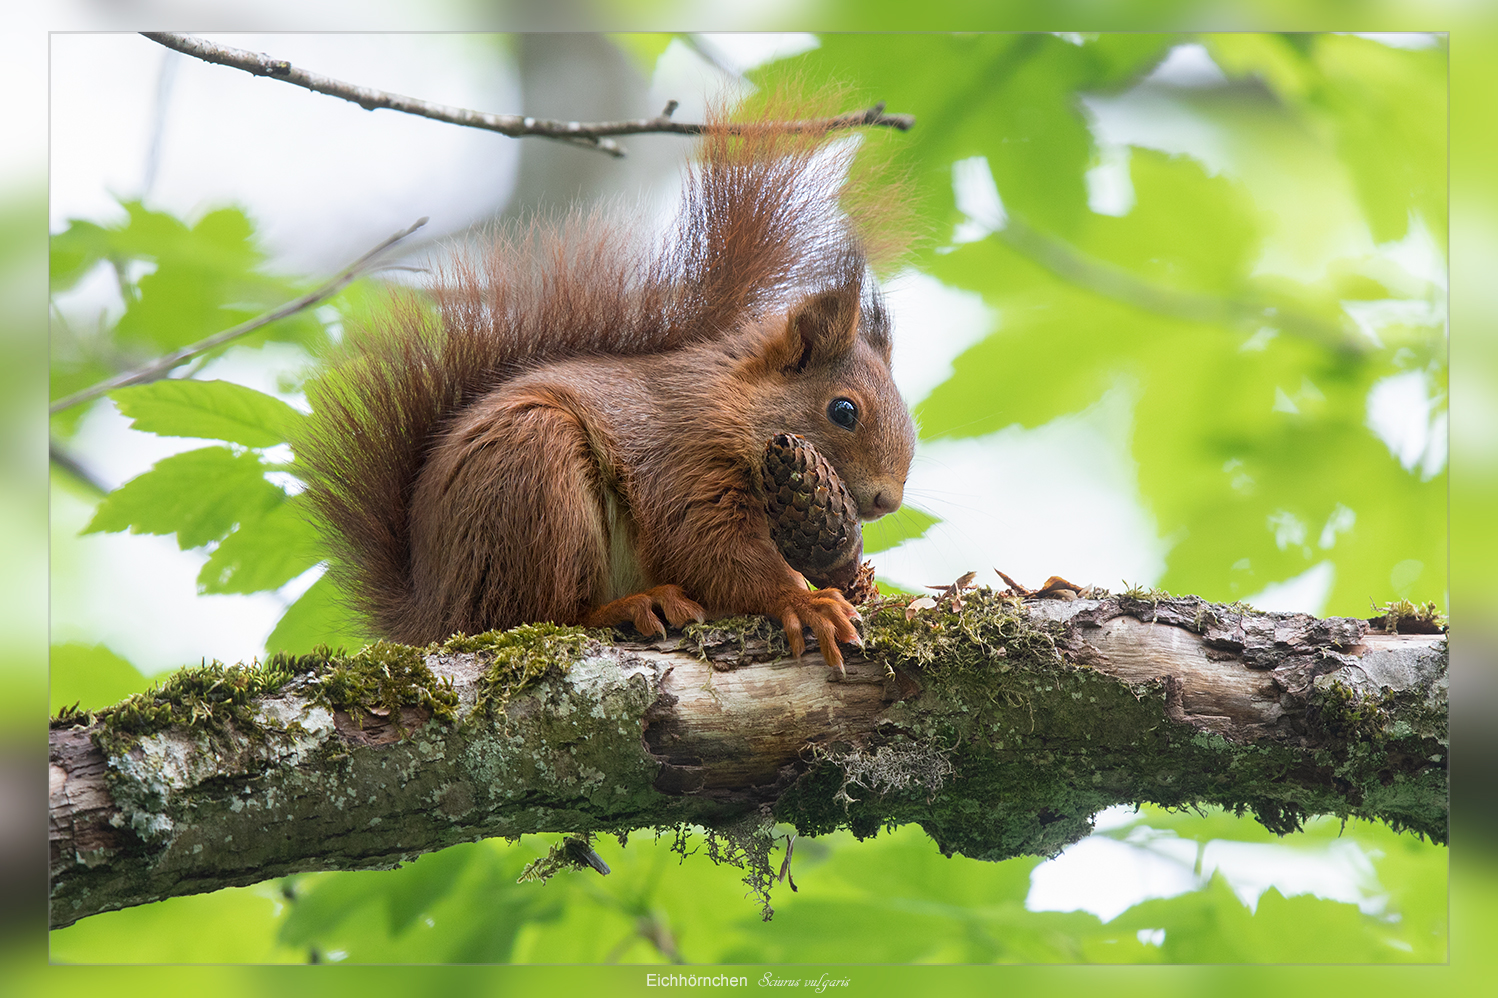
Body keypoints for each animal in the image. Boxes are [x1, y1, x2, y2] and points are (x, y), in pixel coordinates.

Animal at [296, 98, 910, 668]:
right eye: (843, 411)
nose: (888, 500)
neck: (728, 403)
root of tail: (432, 612)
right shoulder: (684, 461)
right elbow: (712, 552)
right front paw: (806, 602)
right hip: (534, 476)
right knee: (538, 614)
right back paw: (631, 607)